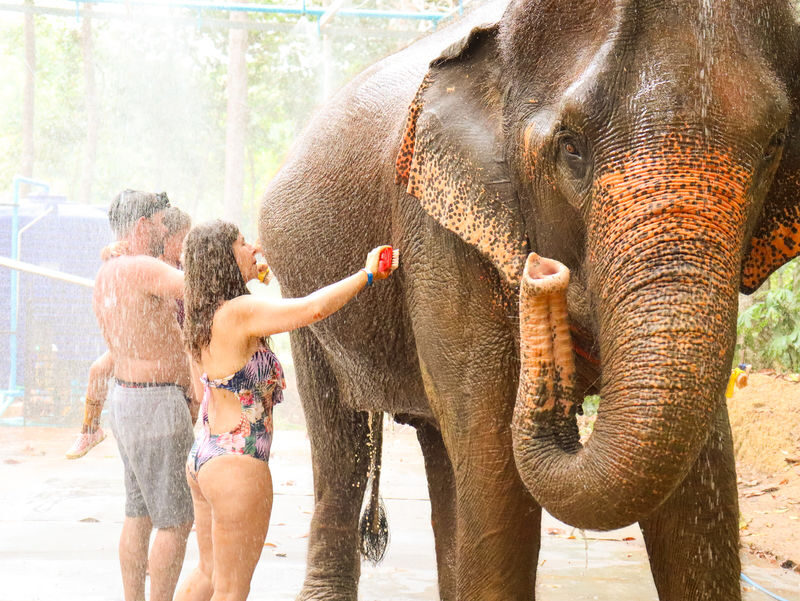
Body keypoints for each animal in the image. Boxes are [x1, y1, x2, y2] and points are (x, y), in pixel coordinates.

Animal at [259, 0, 800, 599]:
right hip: (302, 293)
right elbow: (493, 453)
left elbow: (703, 473)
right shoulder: (436, 227)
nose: (543, 272)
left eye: (775, 145)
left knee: (441, 451)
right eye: (571, 148)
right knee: (343, 446)